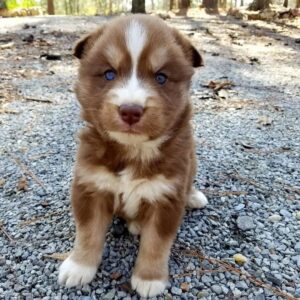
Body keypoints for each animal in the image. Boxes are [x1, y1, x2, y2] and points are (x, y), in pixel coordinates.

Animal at [59, 14, 209, 298]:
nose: (130, 110)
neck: (133, 152)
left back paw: (193, 196)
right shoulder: (90, 186)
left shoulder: (167, 196)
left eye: (161, 77)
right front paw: (79, 266)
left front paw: (150, 279)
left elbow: (156, 243)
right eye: (109, 74)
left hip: (191, 161)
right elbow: (87, 232)